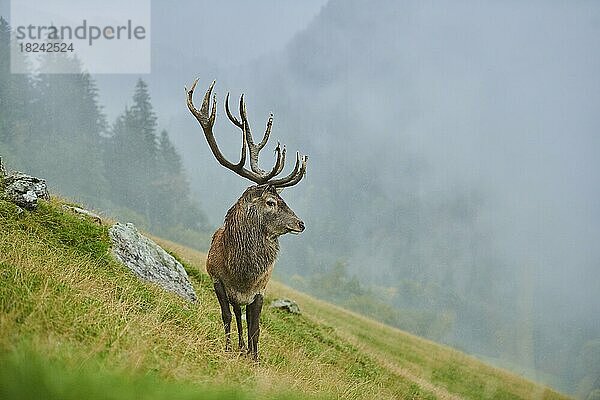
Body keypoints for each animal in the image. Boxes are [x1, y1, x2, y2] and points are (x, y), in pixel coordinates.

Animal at [186, 79, 310, 362]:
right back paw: (240, 347)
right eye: (271, 202)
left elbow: (256, 327)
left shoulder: (260, 291)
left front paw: (255, 359)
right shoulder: (218, 282)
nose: (301, 224)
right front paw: (229, 348)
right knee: (236, 316)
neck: (242, 276)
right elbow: (227, 317)